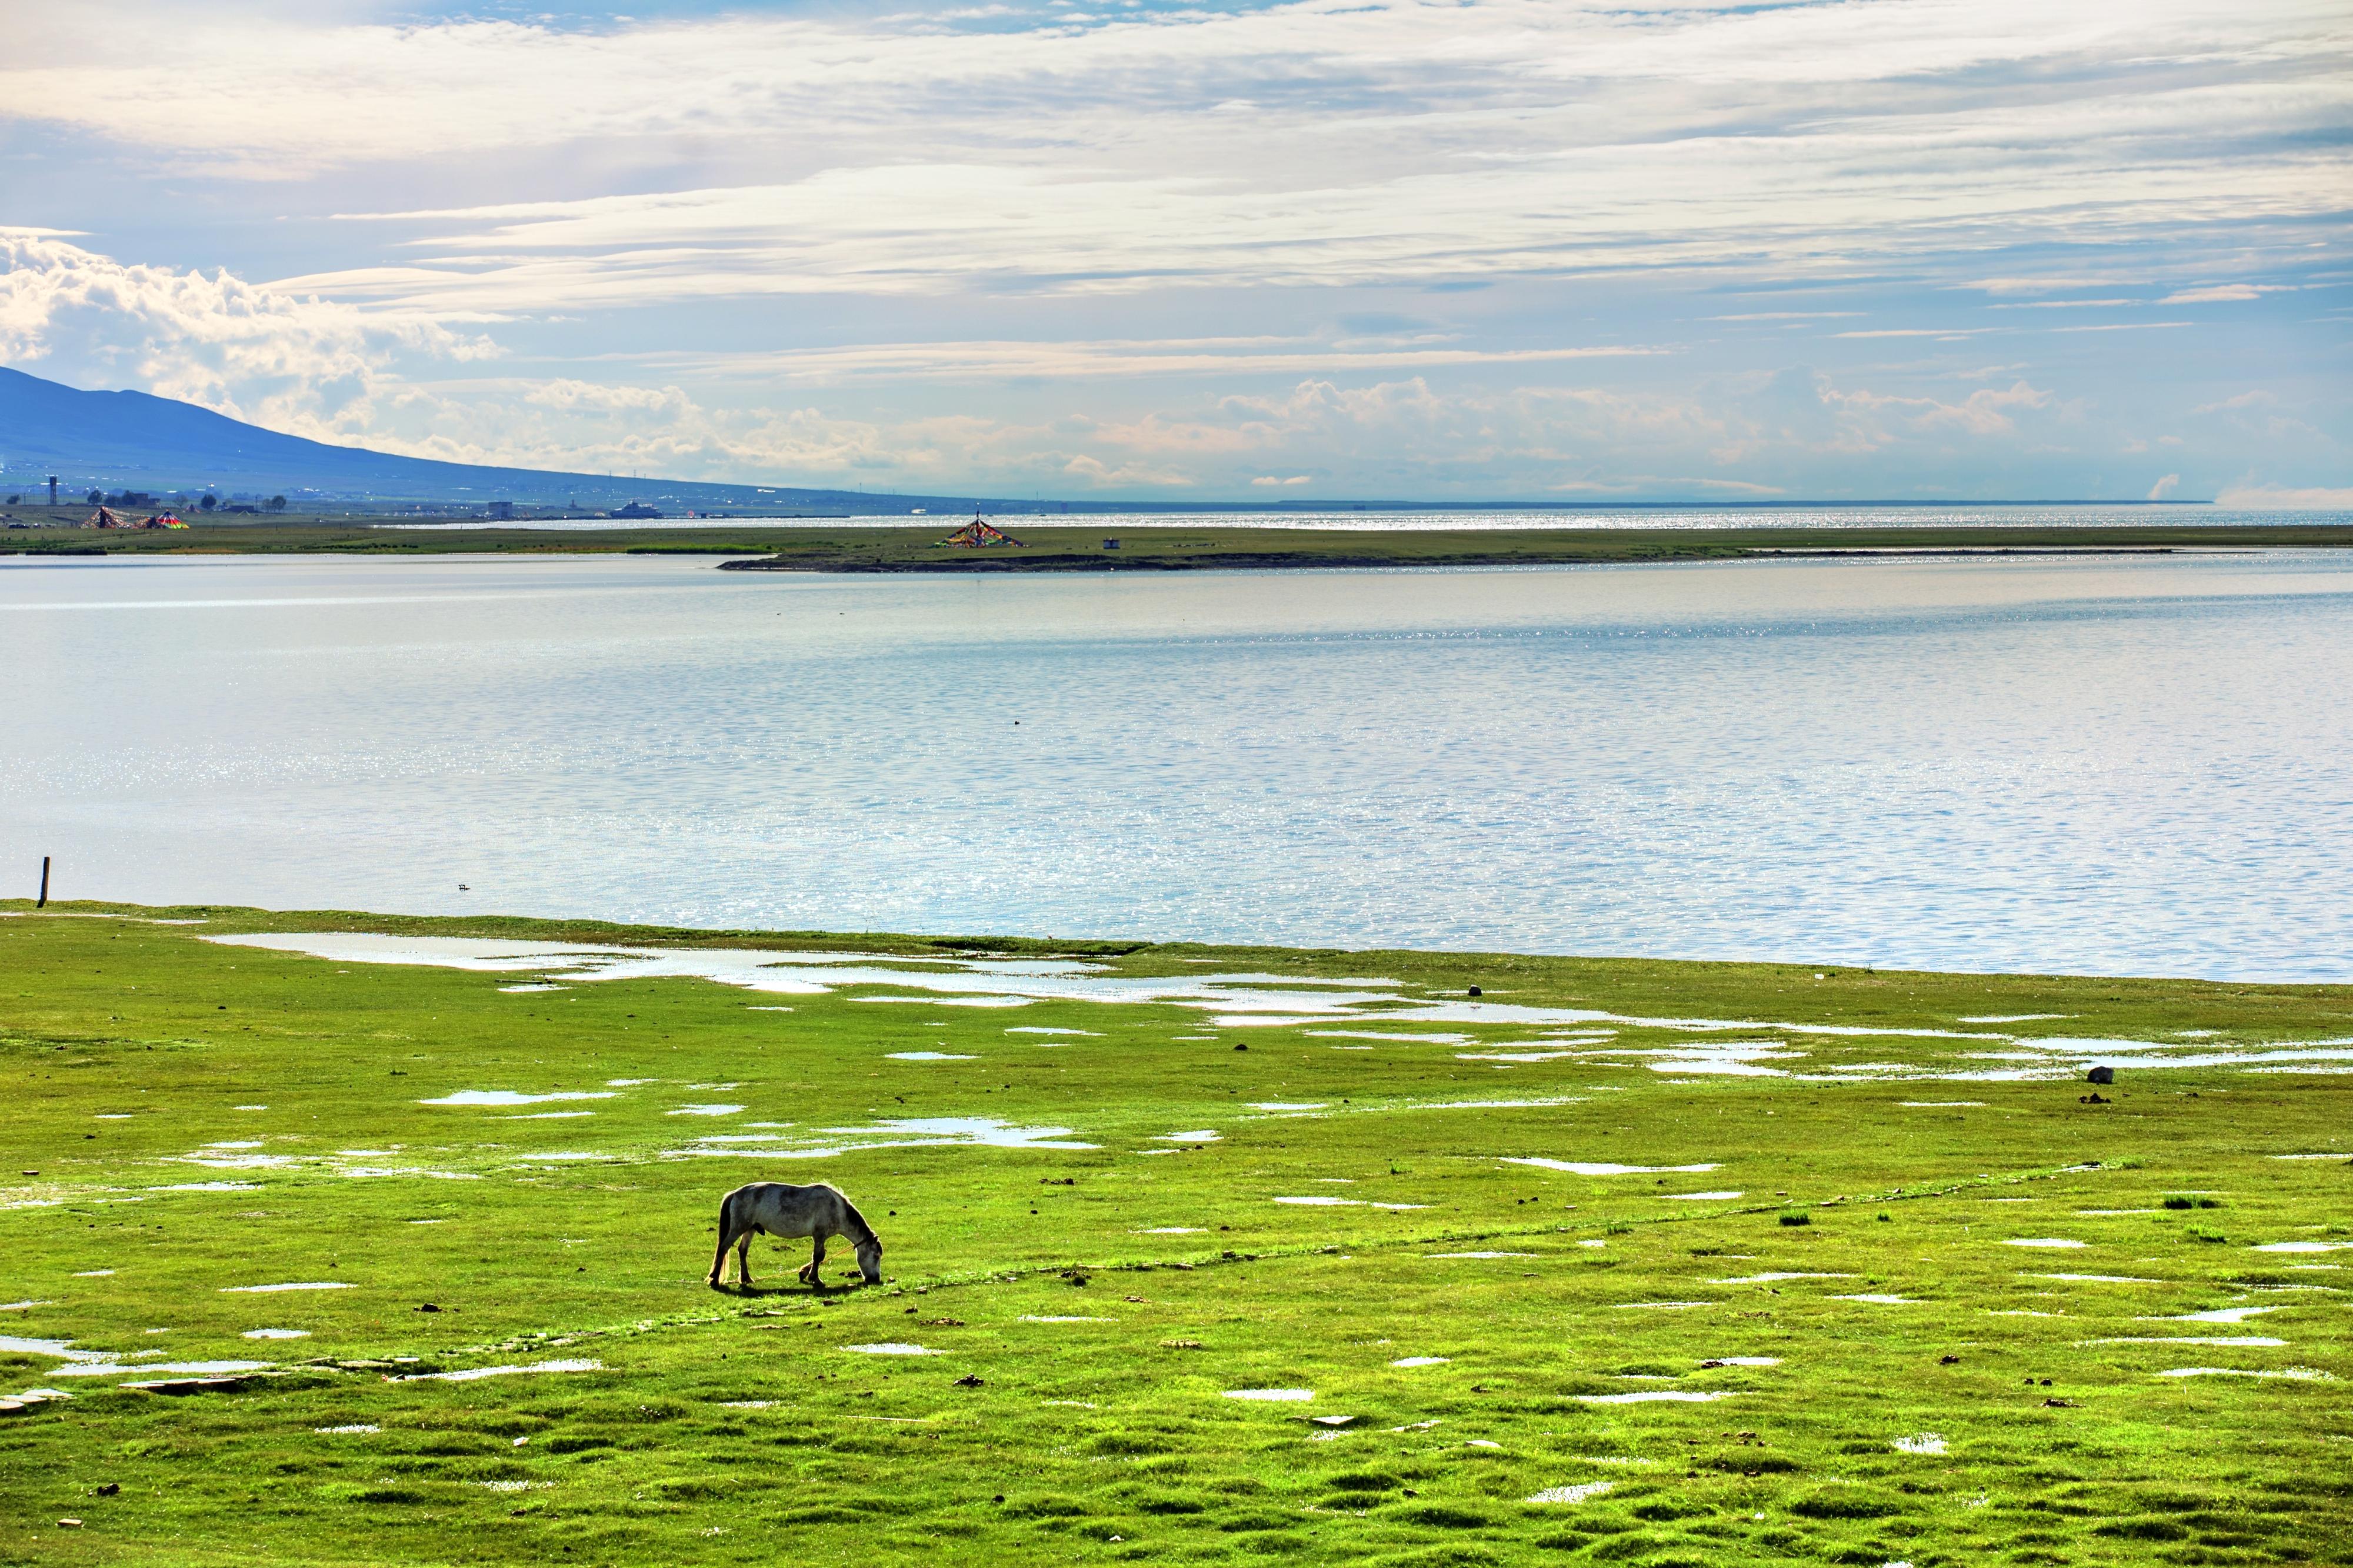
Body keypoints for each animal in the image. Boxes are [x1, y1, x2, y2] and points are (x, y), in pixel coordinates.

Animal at [706, 1177, 885, 1290]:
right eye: (876, 1256)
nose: (875, 1279)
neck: (837, 1208)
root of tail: (735, 1193)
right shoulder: (819, 1235)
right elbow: (818, 1256)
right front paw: (815, 1279)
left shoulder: (821, 1237)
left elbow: (821, 1256)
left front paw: (804, 1273)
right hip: (739, 1228)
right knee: (724, 1248)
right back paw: (714, 1280)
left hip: (750, 1229)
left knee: (742, 1251)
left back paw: (746, 1279)